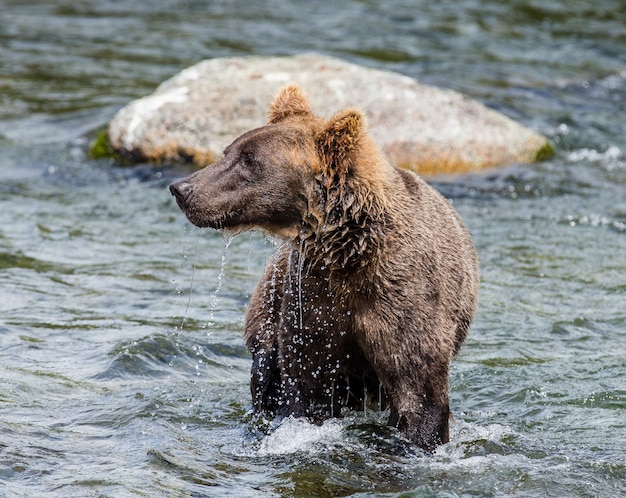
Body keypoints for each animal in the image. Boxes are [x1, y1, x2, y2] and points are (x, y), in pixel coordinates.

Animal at [168, 84, 480, 452]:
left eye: (250, 160)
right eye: (227, 151)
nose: (182, 188)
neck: (348, 252)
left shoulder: (403, 298)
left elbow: (418, 391)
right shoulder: (312, 298)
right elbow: (307, 381)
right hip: (268, 308)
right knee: (264, 372)